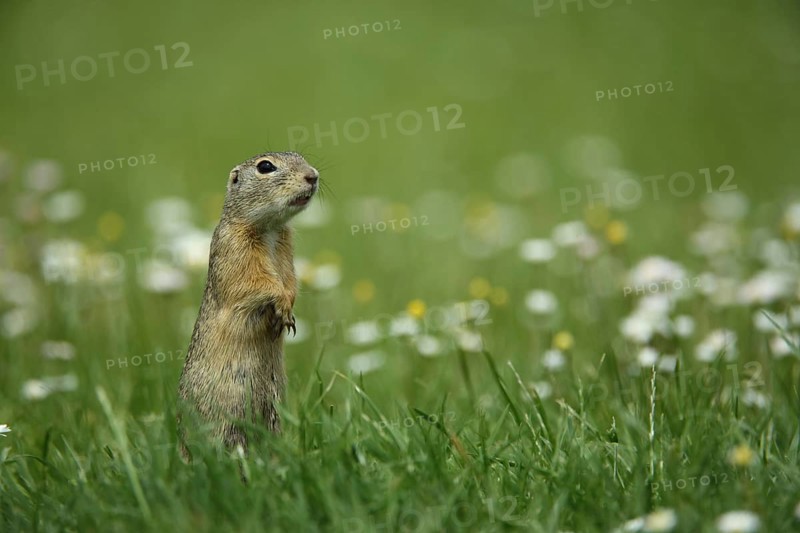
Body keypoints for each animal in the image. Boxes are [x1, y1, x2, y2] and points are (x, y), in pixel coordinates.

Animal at [177, 151, 319, 460]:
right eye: (265, 166)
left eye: (300, 156)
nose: (313, 175)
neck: (270, 229)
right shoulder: (237, 251)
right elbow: (257, 284)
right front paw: (282, 306)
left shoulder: (286, 251)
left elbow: (290, 280)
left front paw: (288, 311)